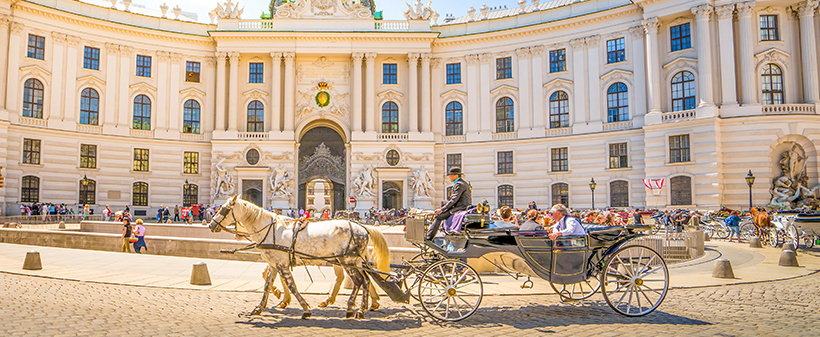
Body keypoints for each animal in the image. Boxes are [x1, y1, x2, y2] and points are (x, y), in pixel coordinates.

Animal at [210, 194, 392, 318]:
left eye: (223, 209)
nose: (211, 225)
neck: (270, 229)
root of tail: (362, 227)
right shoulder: (274, 264)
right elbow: (267, 286)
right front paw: (259, 308)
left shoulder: (282, 264)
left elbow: (292, 286)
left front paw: (305, 309)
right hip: (353, 261)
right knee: (365, 280)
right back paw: (360, 308)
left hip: (347, 260)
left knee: (360, 281)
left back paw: (355, 309)